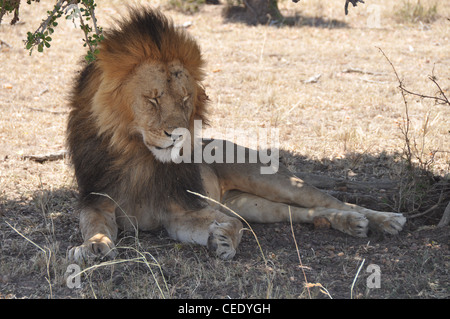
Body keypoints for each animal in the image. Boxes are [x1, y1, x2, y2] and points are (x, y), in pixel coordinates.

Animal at [67, 7, 408, 262]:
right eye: (152, 99)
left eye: (185, 99)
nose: (177, 135)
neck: (137, 156)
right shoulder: (97, 200)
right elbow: (93, 223)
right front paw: (93, 245)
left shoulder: (182, 211)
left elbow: (232, 225)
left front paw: (225, 241)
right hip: (252, 204)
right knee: (305, 212)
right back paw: (348, 224)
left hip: (269, 179)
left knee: (331, 200)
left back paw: (384, 219)